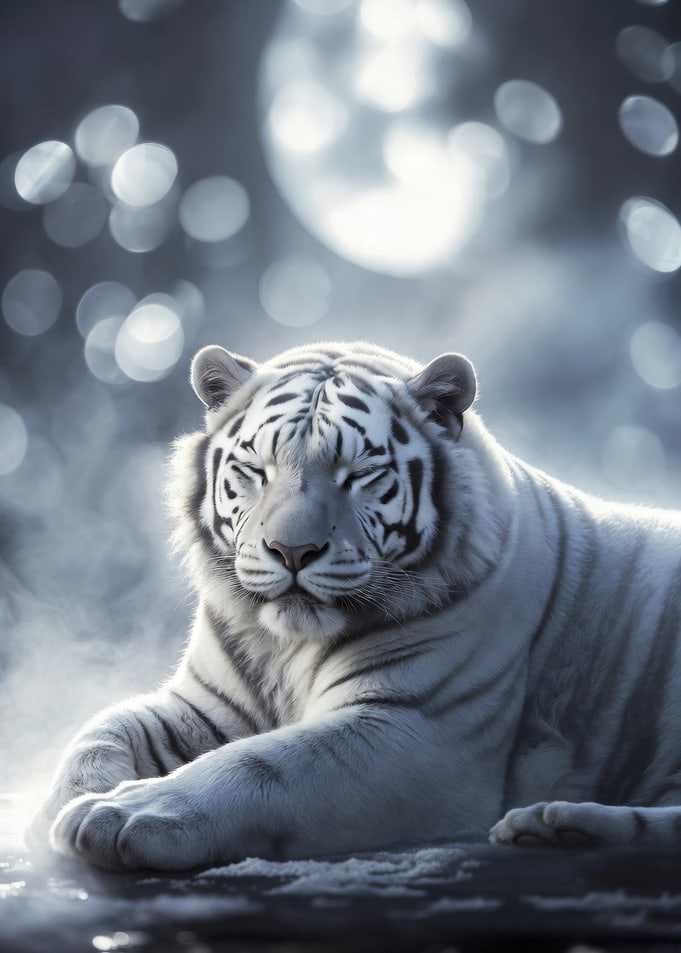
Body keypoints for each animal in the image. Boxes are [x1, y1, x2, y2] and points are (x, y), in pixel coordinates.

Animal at [25, 340, 681, 871]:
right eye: (256, 470)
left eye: (359, 474)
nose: (292, 550)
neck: (284, 647)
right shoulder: (201, 706)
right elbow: (101, 731)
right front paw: (62, 809)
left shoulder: (414, 729)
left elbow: (260, 764)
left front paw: (128, 813)